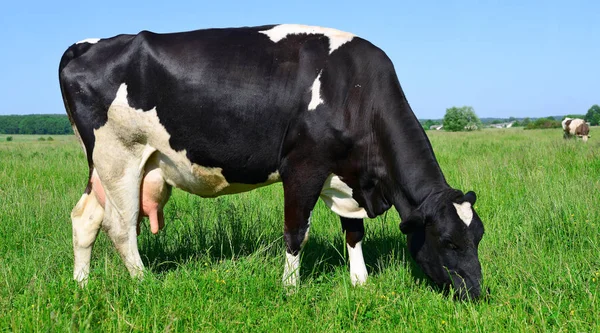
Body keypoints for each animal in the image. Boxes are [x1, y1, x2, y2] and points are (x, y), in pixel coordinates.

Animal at [58, 24, 486, 300]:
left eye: (478, 237)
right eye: (446, 240)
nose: (476, 293)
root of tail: (86, 44)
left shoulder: (345, 174)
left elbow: (353, 231)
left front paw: (360, 282)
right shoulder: (303, 167)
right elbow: (296, 232)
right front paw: (290, 289)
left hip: (106, 166)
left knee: (85, 218)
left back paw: (81, 284)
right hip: (119, 156)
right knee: (120, 226)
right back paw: (144, 282)